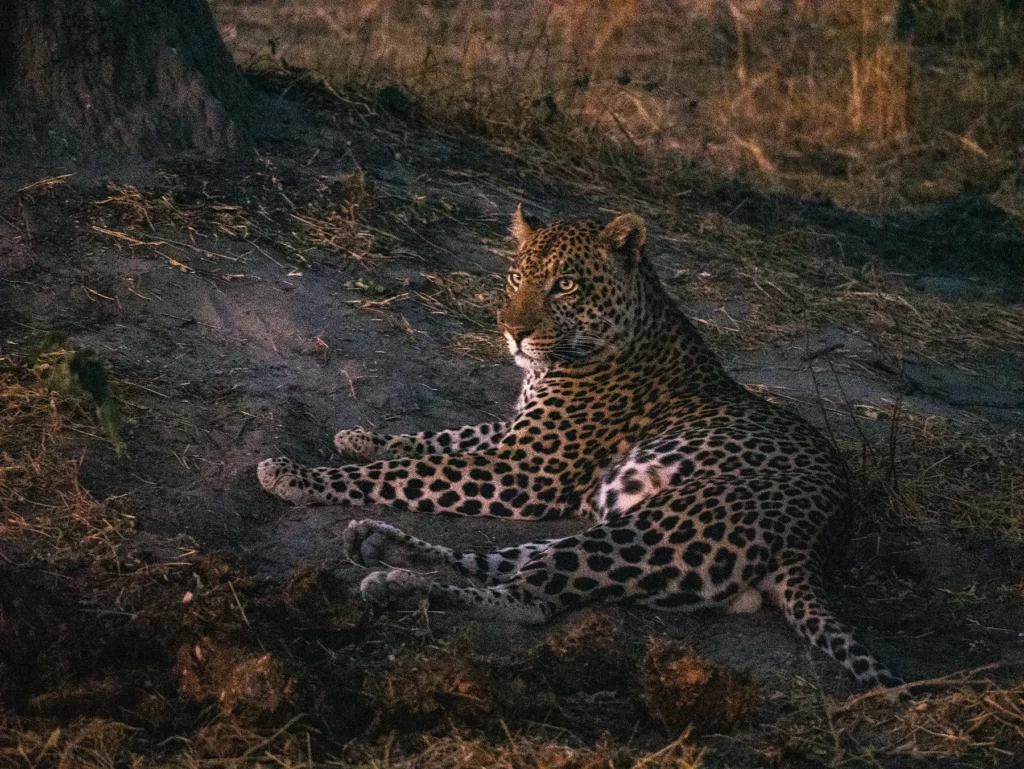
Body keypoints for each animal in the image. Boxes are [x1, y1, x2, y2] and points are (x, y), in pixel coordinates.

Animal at [257, 207, 902, 689]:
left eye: (564, 285)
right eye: (516, 278)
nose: (511, 332)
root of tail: (821, 541)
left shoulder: (525, 470)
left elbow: (409, 470)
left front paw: (296, 474)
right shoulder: (513, 436)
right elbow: (438, 438)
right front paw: (358, 436)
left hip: (660, 530)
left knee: (529, 599)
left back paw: (396, 584)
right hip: (624, 531)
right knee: (505, 564)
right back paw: (383, 547)